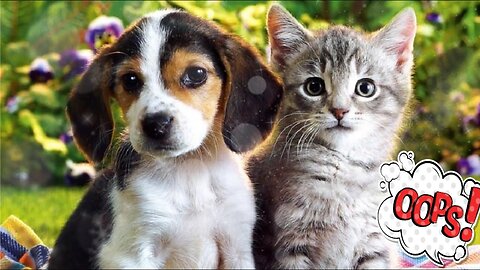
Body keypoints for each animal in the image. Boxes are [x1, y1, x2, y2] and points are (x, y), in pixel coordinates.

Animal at [48, 9, 282, 268]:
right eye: (130, 80)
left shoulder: (236, 246)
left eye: (196, 74)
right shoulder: (132, 254)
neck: (190, 170)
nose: (156, 124)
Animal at [251, 5, 416, 268]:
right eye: (314, 86)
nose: (339, 110)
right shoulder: (289, 243)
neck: (344, 171)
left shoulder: (374, 242)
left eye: (365, 88)